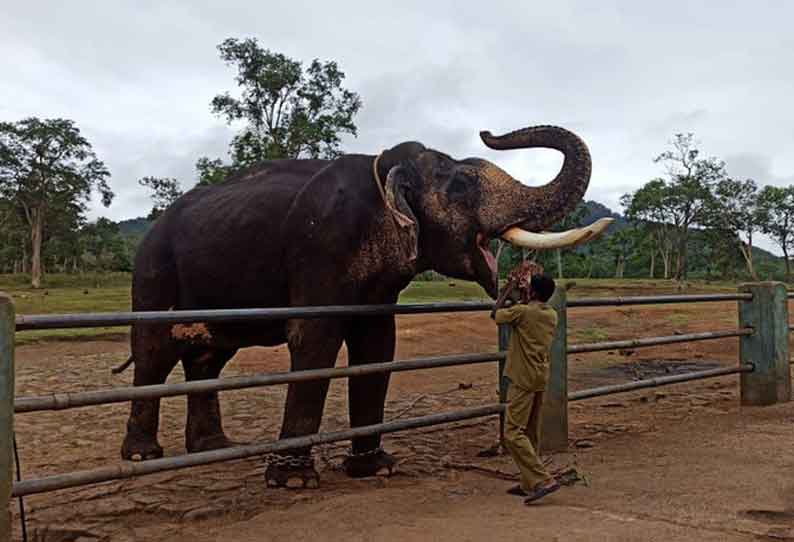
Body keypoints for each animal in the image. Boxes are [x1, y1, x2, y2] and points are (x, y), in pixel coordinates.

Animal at [119, 124, 612, 488]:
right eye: (461, 184)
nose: (488, 132)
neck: (386, 165)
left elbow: (377, 345)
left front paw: (376, 468)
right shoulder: (320, 248)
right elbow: (314, 340)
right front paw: (293, 481)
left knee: (209, 356)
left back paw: (214, 447)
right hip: (153, 270)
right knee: (154, 352)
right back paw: (143, 455)